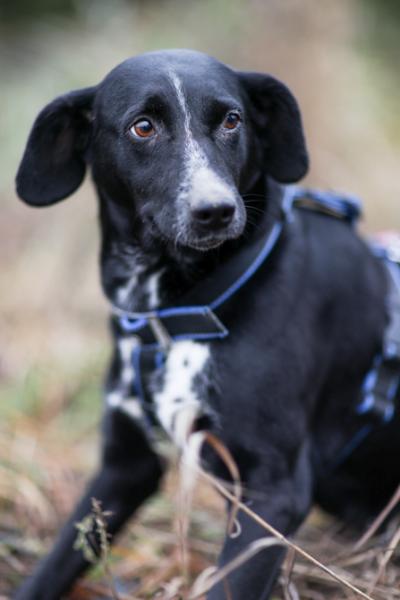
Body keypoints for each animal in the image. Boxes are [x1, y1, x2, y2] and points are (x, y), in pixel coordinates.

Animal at [14, 49, 400, 599]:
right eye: (143, 126)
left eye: (232, 120)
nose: (214, 210)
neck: (172, 313)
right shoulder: (124, 467)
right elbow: (58, 562)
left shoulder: (274, 490)